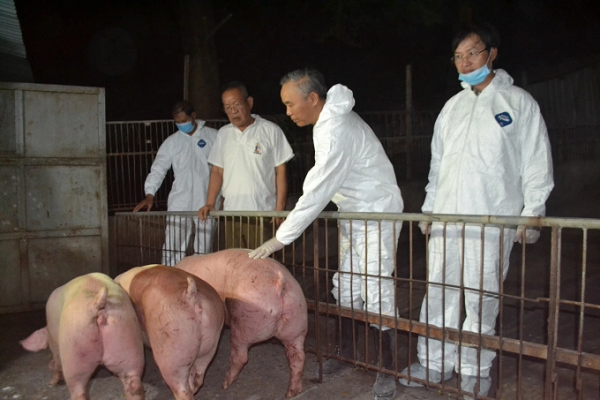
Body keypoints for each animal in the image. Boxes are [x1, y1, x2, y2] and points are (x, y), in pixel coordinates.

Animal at [20, 272, 145, 400]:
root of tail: (97, 302)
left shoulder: (54, 340)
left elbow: (57, 361)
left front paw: (52, 383)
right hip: (128, 339)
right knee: (134, 385)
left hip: (74, 351)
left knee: (78, 391)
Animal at [175, 250, 308, 396]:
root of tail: (280, 283)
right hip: (297, 322)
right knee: (297, 356)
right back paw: (292, 393)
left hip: (244, 321)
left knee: (241, 356)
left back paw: (225, 384)